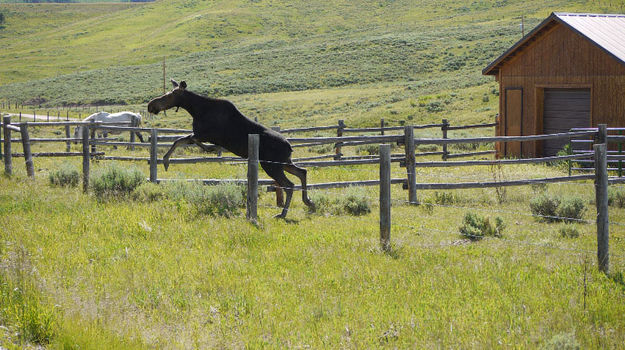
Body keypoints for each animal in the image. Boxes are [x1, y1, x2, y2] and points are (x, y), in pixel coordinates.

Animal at [146, 78, 312, 219]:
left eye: (169, 95)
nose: (150, 105)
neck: (196, 109)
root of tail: (290, 147)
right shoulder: (201, 134)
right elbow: (179, 140)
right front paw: (167, 160)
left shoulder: (205, 134)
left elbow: (184, 140)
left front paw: (167, 160)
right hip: (283, 163)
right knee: (302, 172)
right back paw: (309, 202)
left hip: (271, 165)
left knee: (289, 185)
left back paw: (283, 213)